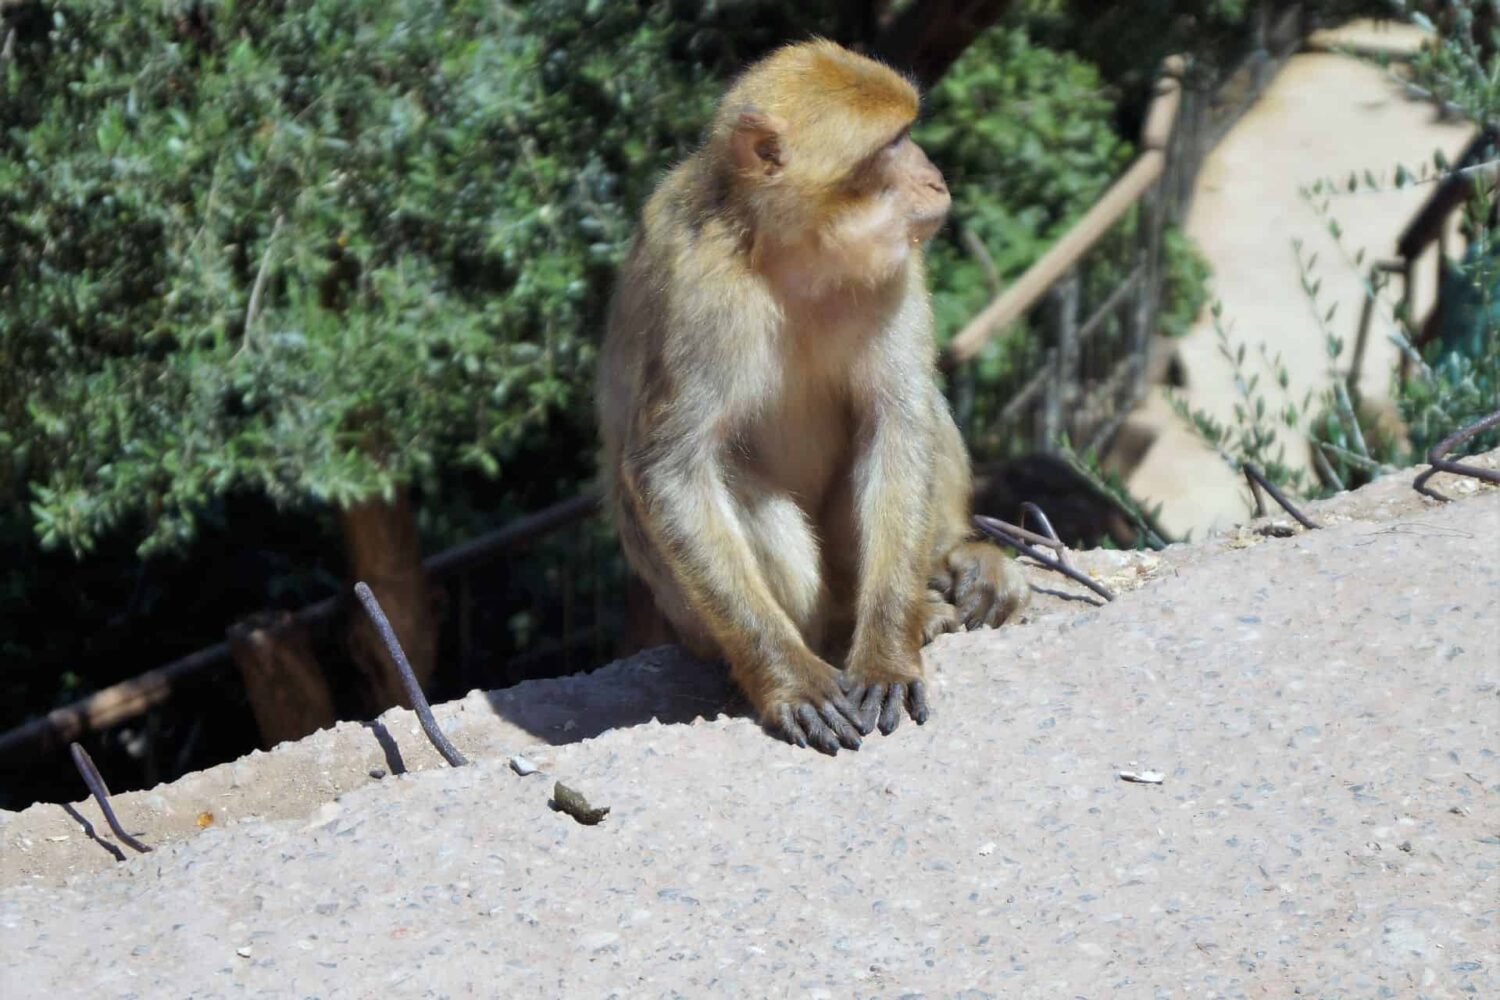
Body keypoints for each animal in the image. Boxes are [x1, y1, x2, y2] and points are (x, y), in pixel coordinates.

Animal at [597, 41, 1032, 758]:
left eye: (909, 133)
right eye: (893, 145)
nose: (934, 178)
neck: (792, 254)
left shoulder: (898, 266)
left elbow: (897, 421)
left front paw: (887, 656)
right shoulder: (703, 291)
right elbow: (671, 470)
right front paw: (789, 679)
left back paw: (947, 575)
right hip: (692, 619)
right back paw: (823, 641)